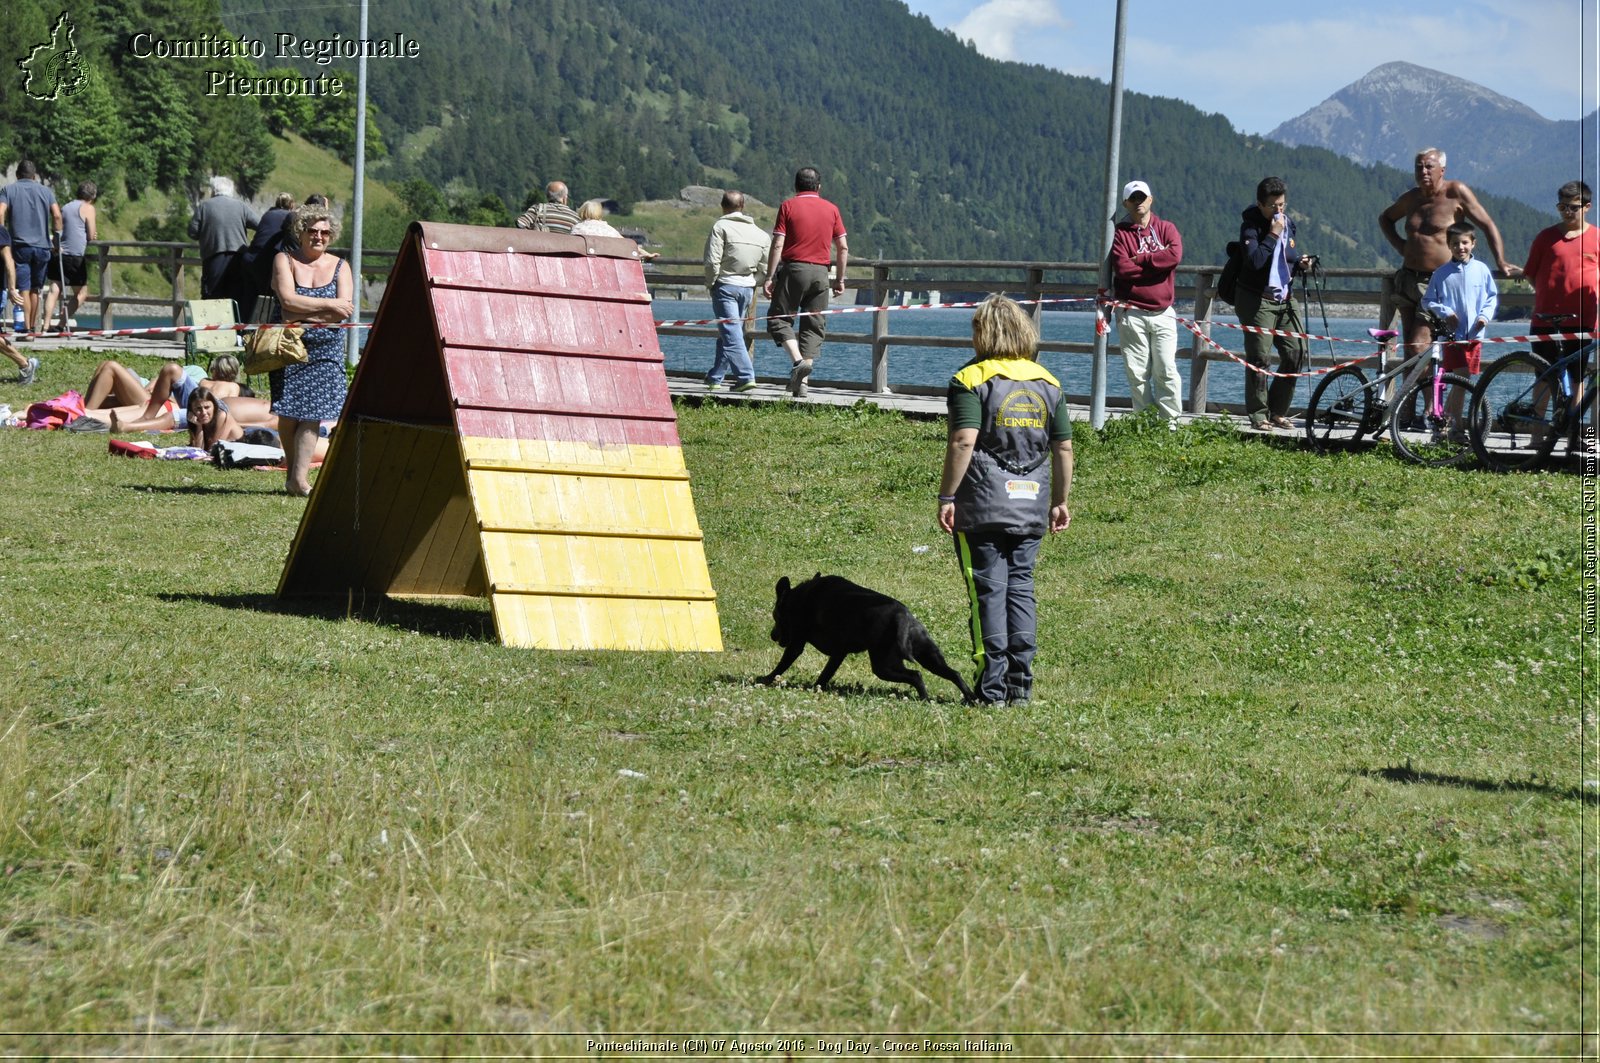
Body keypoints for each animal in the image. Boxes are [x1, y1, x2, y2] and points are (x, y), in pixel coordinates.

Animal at [758, 573, 972, 704]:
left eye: (775, 616)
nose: (772, 635)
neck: (799, 597)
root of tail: (902, 614)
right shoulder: (839, 653)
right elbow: (825, 674)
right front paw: (817, 688)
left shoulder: (796, 643)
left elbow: (782, 665)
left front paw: (765, 679)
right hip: (929, 657)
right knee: (954, 674)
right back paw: (970, 698)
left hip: (883, 665)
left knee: (916, 675)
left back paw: (924, 698)